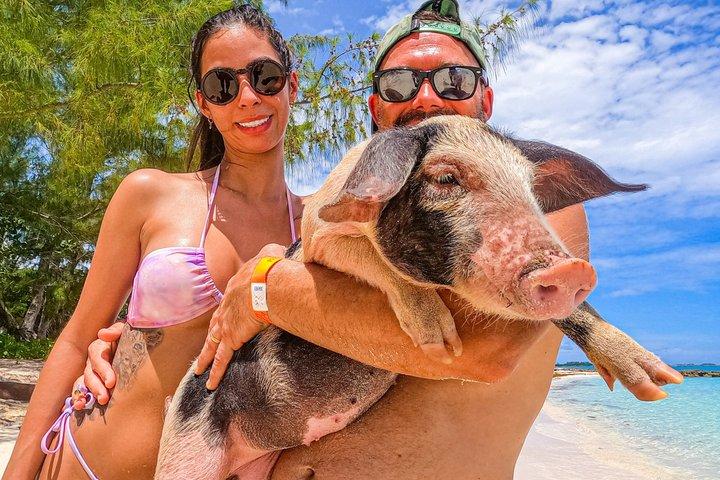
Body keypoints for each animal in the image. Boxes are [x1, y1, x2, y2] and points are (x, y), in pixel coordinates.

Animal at [154, 116, 682, 480]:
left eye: (532, 189)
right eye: (446, 178)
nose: (572, 268)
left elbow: (573, 312)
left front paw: (659, 384)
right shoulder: (320, 235)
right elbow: (373, 256)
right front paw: (439, 342)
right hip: (185, 453)